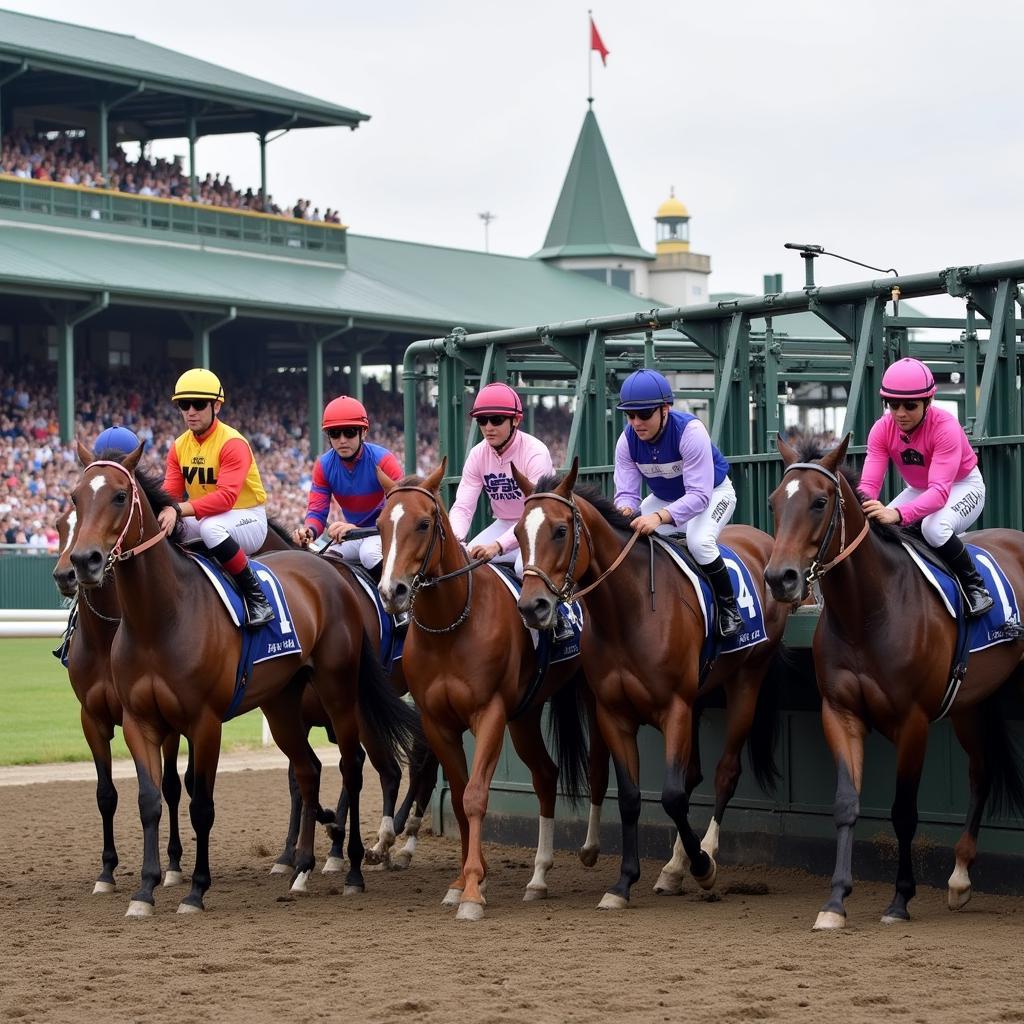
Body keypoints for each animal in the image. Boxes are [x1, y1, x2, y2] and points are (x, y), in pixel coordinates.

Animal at [64, 444, 419, 917]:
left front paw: (196, 890)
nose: (81, 563)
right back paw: (303, 868)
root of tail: (335, 576)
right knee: (308, 770)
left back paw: (357, 866)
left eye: (120, 496)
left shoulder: (204, 722)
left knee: (355, 766)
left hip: (341, 694)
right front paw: (145, 889)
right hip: (284, 704)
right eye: (75, 498)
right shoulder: (140, 721)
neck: (158, 618)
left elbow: (202, 805)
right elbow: (149, 799)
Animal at [372, 460, 602, 925]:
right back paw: (538, 877)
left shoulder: (489, 712)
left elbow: (476, 795)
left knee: (599, 765)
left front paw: (474, 891)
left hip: (592, 696)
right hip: (526, 716)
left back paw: (588, 848)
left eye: (424, 523)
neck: (450, 627)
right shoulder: (437, 722)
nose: (391, 592)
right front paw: (459, 882)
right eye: (381, 524)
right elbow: (459, 799)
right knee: (546, 774)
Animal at [512, 460, 790, 909]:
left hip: (748, 677)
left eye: (559, 530)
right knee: (693, 774)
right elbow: (630, 797)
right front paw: (624, 882)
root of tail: (764, 541)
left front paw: (703, 868)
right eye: (519, 532)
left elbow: (672, 795)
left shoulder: (675, 707)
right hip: (701, 693)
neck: (628, 611)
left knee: (724, 772)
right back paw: (674, 868)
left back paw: (704, 853)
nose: (532, 607)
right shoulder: (614, 713)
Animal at [765, 436, 1019, 933]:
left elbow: (904, 811)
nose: (779, 579)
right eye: (773, 502)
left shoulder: (913, 721)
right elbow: (846, 804)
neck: (867, 612)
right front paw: (835, 901)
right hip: (970, 704)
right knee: (980, 773)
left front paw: (900, 899)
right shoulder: (839, 712)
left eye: (820, 502)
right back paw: (960, 877)